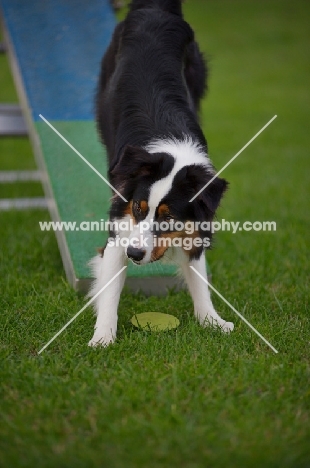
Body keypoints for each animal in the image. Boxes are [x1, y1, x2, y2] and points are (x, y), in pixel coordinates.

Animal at [88, 0, 234, 346]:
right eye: (139, 208)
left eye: (168, 219)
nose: (135, 253)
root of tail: (154, 7)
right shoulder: (120, 227)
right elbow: (109, 288)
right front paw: (102, 338)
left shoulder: (197, 224)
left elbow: (198, 276)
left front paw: (212, 321)